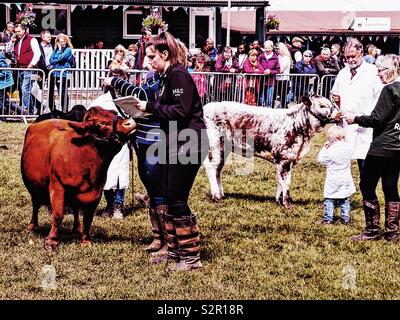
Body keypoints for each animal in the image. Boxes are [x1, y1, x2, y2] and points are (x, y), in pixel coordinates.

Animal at [20, 106, 136, 251]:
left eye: (114, 113)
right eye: (99, 124)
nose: (129, 123)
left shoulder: (96, 193)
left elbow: (88, 218)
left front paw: (85, 240)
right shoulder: (57, 187)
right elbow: (58, 215)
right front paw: (51, 241)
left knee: (75, 209)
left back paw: (76, 228)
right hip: (35, 186)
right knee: (35, 204)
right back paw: (32, 226)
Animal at [203, 95, 338, 208]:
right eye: (322, 105)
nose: (339, 114)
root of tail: (207, 107)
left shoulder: (287, 159)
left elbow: (280, 179)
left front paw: (279, 200)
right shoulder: (284, 157)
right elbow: (286, 181)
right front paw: (287, 203)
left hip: (223, 149)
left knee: (218, 169)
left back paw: (221, 194)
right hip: (215, 144)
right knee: (211, 166)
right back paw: (216, 196)